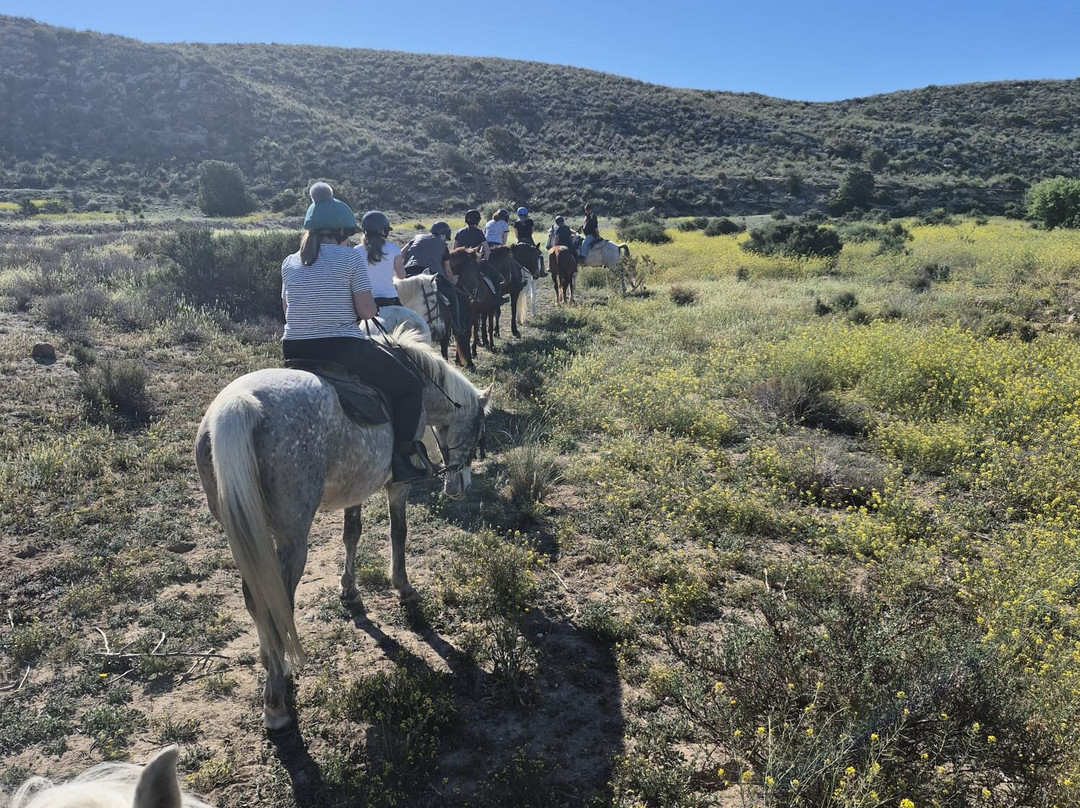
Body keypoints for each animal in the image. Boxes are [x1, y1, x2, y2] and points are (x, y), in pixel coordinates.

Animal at [194, 328, 492, 729]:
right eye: (478, 429)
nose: (460, 485)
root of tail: (238, 406)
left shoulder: (357, 486)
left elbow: (352, 533)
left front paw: (350, 592)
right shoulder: (397, 486)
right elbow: (398, 534)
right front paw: (403, 587)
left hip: (240, 530)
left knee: (255, 596)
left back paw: (271, 661)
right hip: (292, 537)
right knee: (277, 600)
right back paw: (276, 699)